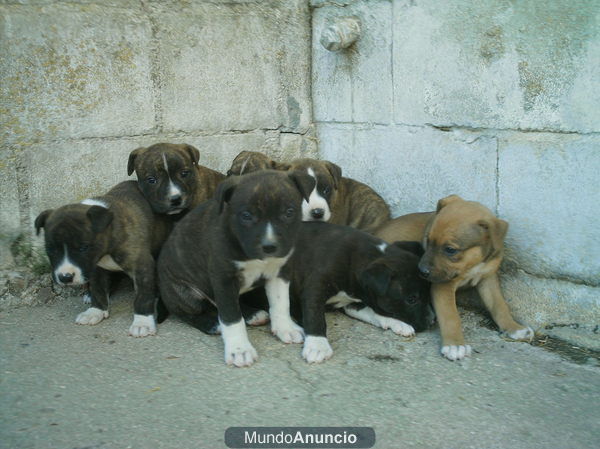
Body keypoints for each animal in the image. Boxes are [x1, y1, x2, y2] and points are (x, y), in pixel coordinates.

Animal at [34, 181, 172, 336]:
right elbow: (98, 289)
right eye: (51, 250)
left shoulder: (141, 266)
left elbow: (143, 295)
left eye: (83, 248)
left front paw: (143, 322)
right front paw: (95, 311)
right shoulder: (95, 269)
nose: (65, 277)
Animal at [155, 170, 314, 366]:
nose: (269, 247)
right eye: (246, 215)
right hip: (183, 293)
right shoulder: (223, 279)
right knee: (192, 312)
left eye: (289, 212)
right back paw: (212, 324)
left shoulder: (279, 271)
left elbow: (281, 302)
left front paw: (286, 327)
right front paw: (240, 349)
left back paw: (253, 314)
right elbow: (231, 317)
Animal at [286, 222, 432, 362]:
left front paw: (398, 323)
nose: (431, 321)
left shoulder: (353, 303)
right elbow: (315, 316)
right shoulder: (315, 289)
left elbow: (374, 313)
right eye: (411, 299)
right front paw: (318, 345)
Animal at [376, 195, 536, 360]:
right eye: (428, 240)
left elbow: (499, 305)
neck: (473, 263)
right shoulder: (443, 285)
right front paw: (454, 345)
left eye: (450, 250)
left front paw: (514, 328)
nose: (421, 271)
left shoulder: (488, 277)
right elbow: (451, 316)